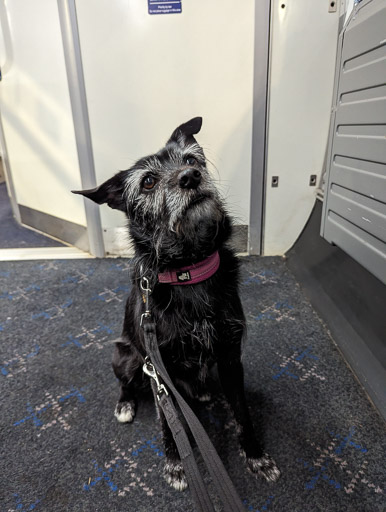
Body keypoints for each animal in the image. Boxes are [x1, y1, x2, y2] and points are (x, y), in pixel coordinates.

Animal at [74, 118, 278, 490]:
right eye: (148, 181)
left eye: (192, 160)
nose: (190, 177)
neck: (188, 270)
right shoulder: (158, 372)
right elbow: (169, 424)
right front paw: (175, 463)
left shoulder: (230, 357)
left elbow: (242, 412)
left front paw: (256, 456)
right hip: (125, 357)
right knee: (125, 384)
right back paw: (125, 405)